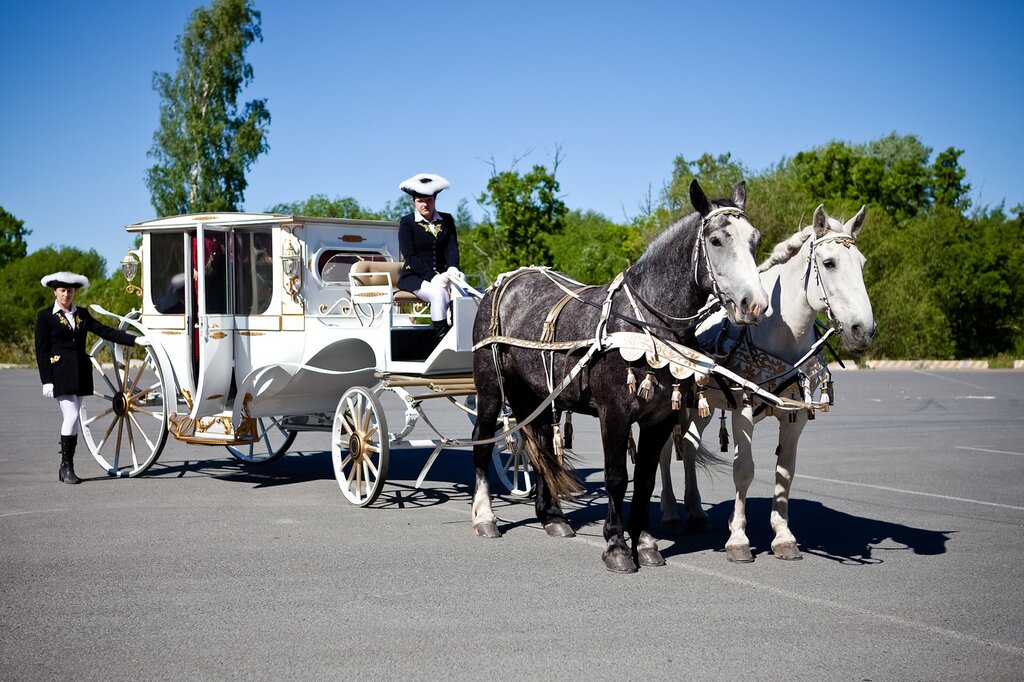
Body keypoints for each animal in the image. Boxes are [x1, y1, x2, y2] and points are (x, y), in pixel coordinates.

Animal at [471, 179, 770, 569]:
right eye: (717, 240)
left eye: (755, 239)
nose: (756, 305)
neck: (645, 324)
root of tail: (506, 282)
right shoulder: (613, 413)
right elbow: (616, 477)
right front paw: (616, 545)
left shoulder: (659, 417)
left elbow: (644, 479)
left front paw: (644, 542)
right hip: (490, 387)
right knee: (482, 441)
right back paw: (484, 517)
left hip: (533, 393)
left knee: (540, 444)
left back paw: (553, 517)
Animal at [663, 204, 872, 561]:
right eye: (829, 263)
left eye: (861, 263)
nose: (863, 330)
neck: (778, 335)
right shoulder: (742, 411)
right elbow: (743, 469)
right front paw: (737, 539)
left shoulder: (795, 415)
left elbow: (785, 471)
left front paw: (784, 536)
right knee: (664, 452)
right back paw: (670, 513)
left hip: (702, 407)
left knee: (689, 445)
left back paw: (695, 512)